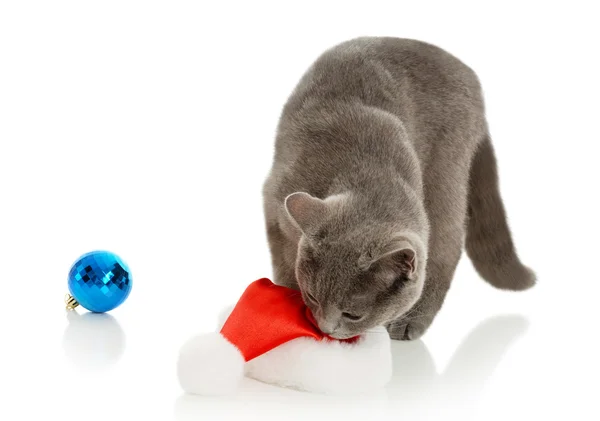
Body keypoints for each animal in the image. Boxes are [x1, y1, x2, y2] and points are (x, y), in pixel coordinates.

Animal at [262, 37, 536, 342]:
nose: (326, 328)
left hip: (447, 166)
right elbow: (283, 263)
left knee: (447, 246)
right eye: (312, 296)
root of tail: (465, 70)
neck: (364, 174)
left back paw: (412, 320)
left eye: (353, 315)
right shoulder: (275, 204)